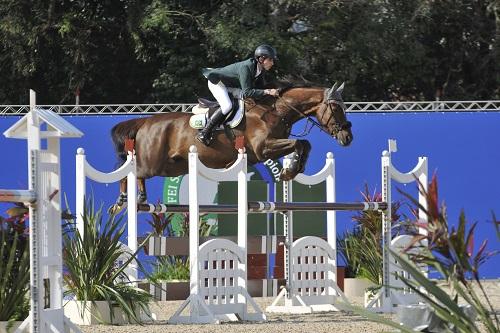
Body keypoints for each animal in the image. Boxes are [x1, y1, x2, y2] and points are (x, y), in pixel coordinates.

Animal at [110, 82, 352, 208]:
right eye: (335, 108)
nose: (348, 137)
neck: (276, 111)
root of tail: (145, 121)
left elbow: (304, 144)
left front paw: (293, 169)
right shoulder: (263, 148)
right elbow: (299, 143)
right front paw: (289, 171)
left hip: (171, 166)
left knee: (138, 174)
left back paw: (140, 198)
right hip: (154, 162)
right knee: (130, 172)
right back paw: (122, 201)